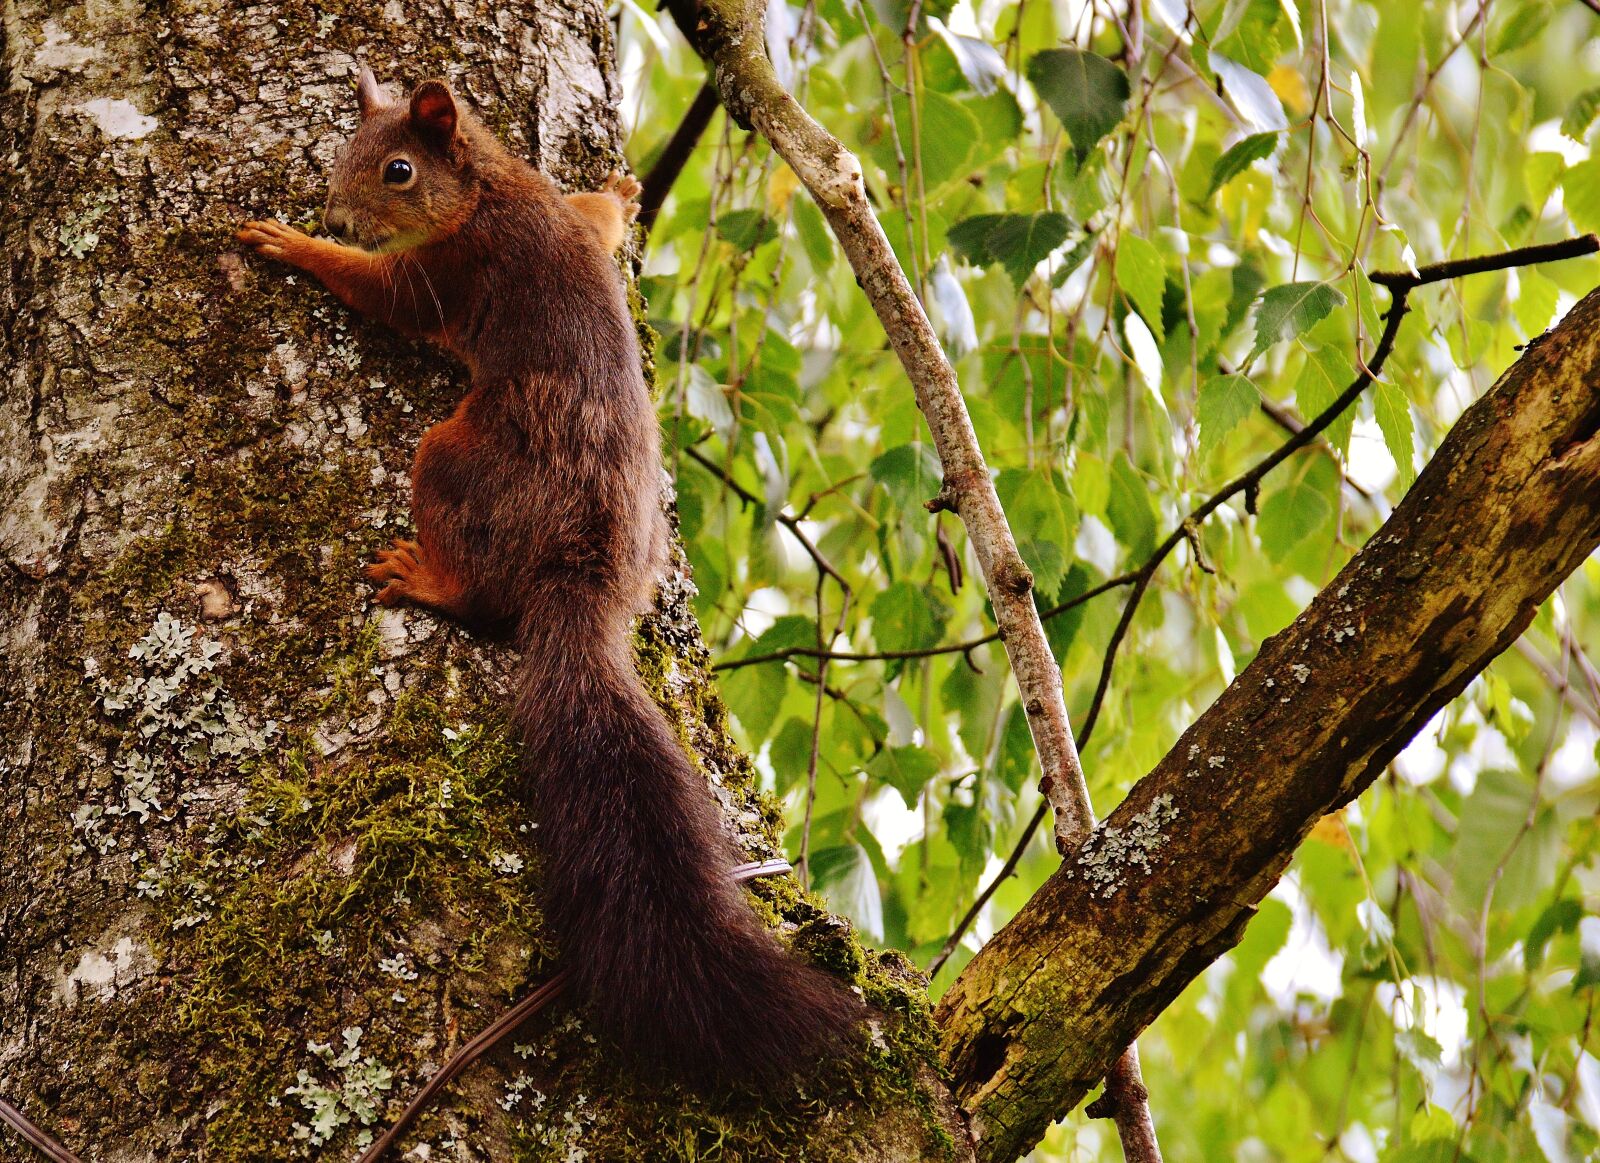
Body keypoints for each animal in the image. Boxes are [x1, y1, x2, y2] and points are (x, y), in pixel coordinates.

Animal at [237, 68, 865, 1090]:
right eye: (343, 152)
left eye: (397, 170)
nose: (333, 211)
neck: (491, 188)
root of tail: (590, 578)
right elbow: (595, 223)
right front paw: (618, 192)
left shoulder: (449, 270)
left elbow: (380, 293)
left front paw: (294, 245)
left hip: (456, 454)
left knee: (474, 573)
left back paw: (427, 577)